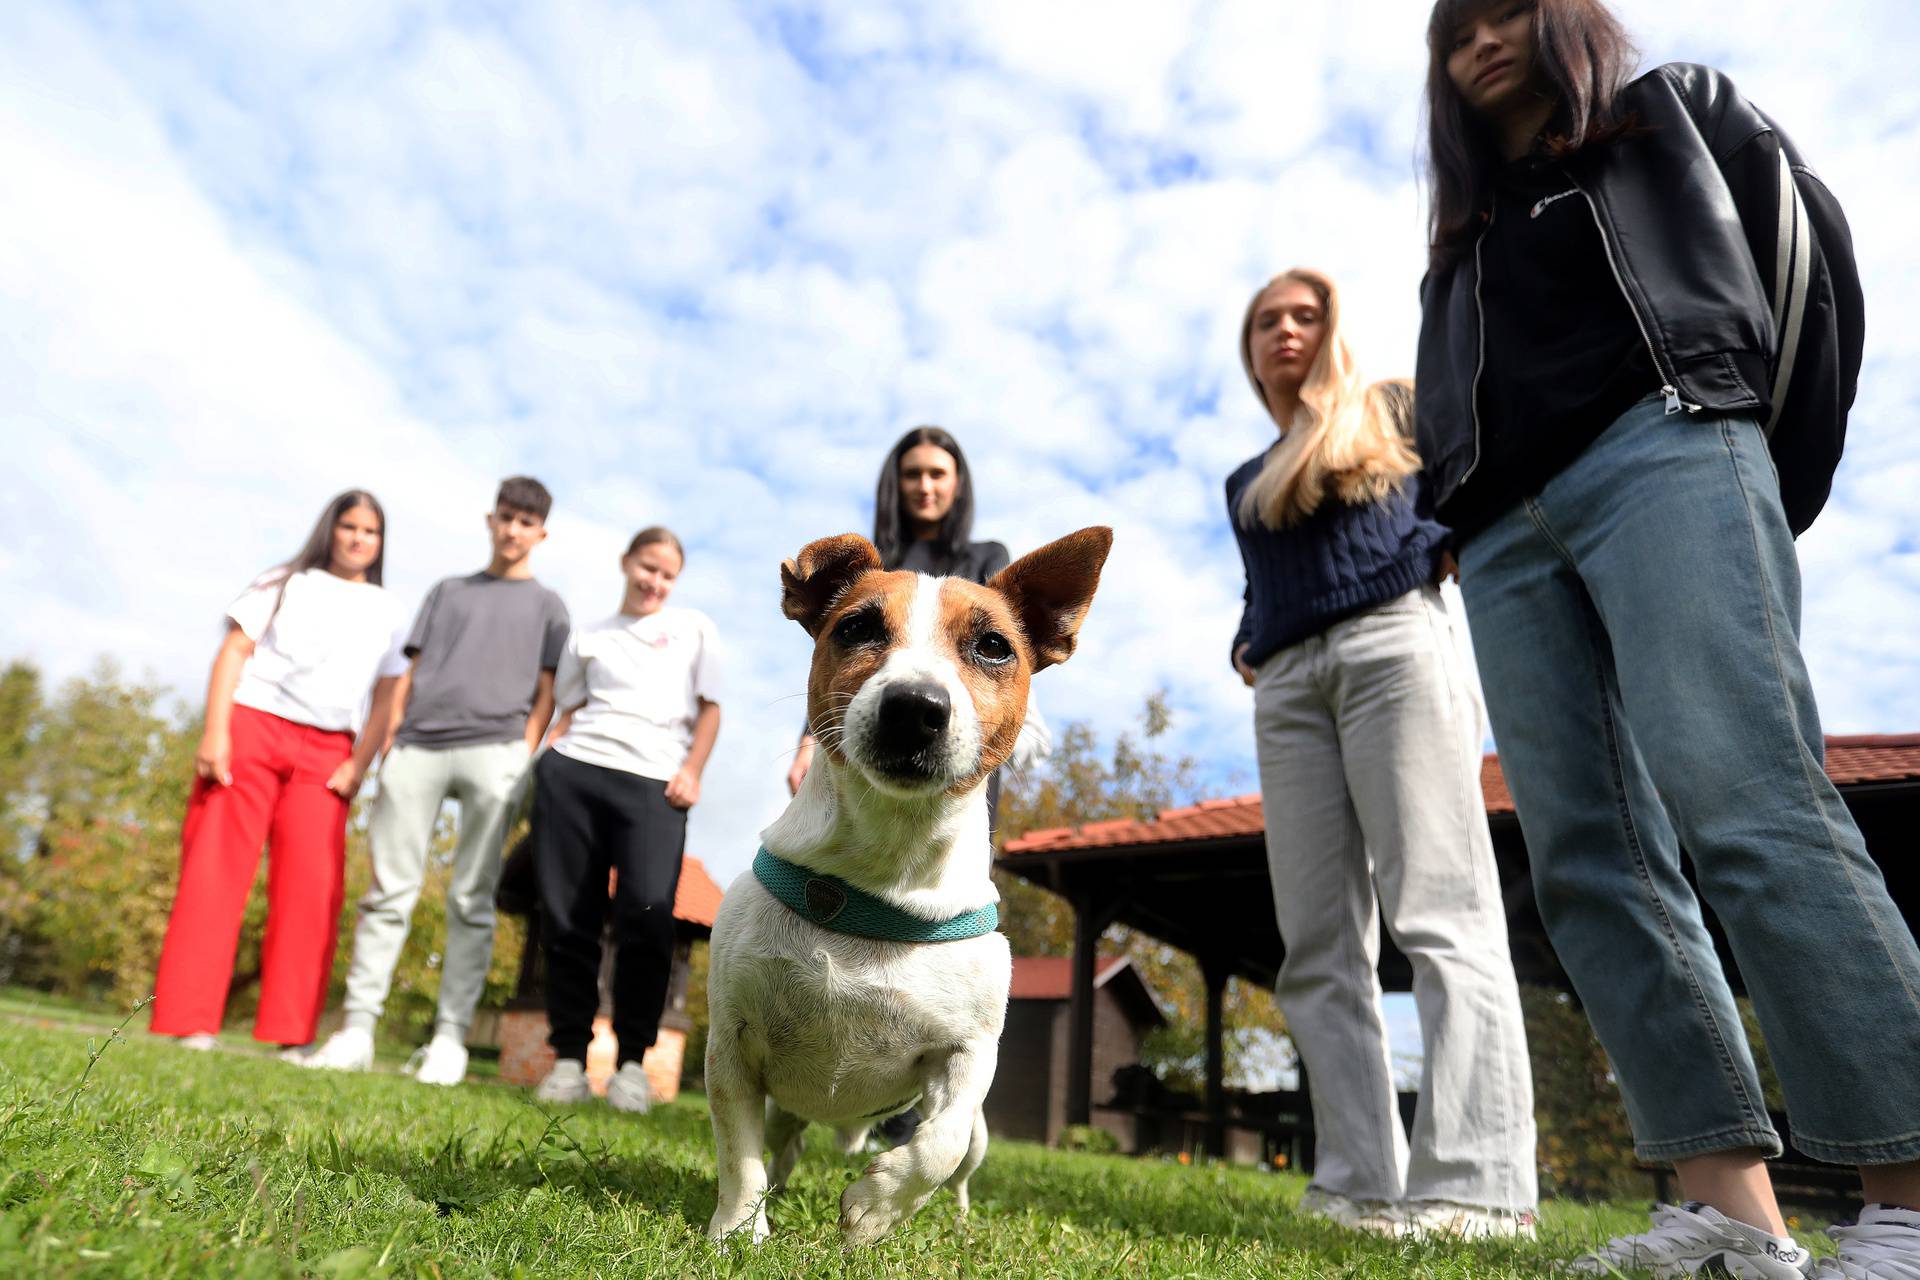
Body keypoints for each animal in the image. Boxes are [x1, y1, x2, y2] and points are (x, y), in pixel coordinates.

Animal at [706, 525, 1113, 1243]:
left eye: (993, 646)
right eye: (857, 627)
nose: (915, 707)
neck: (885, 872)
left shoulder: (968, 1057)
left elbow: (937, 1144)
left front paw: (876, 1207)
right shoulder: (730, 1048)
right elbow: (738, 1155)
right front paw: (735, 1234)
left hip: (980, 1137)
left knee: (961, 1166)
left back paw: (956, 1217)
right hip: (785, 1107)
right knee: (781, 1146)